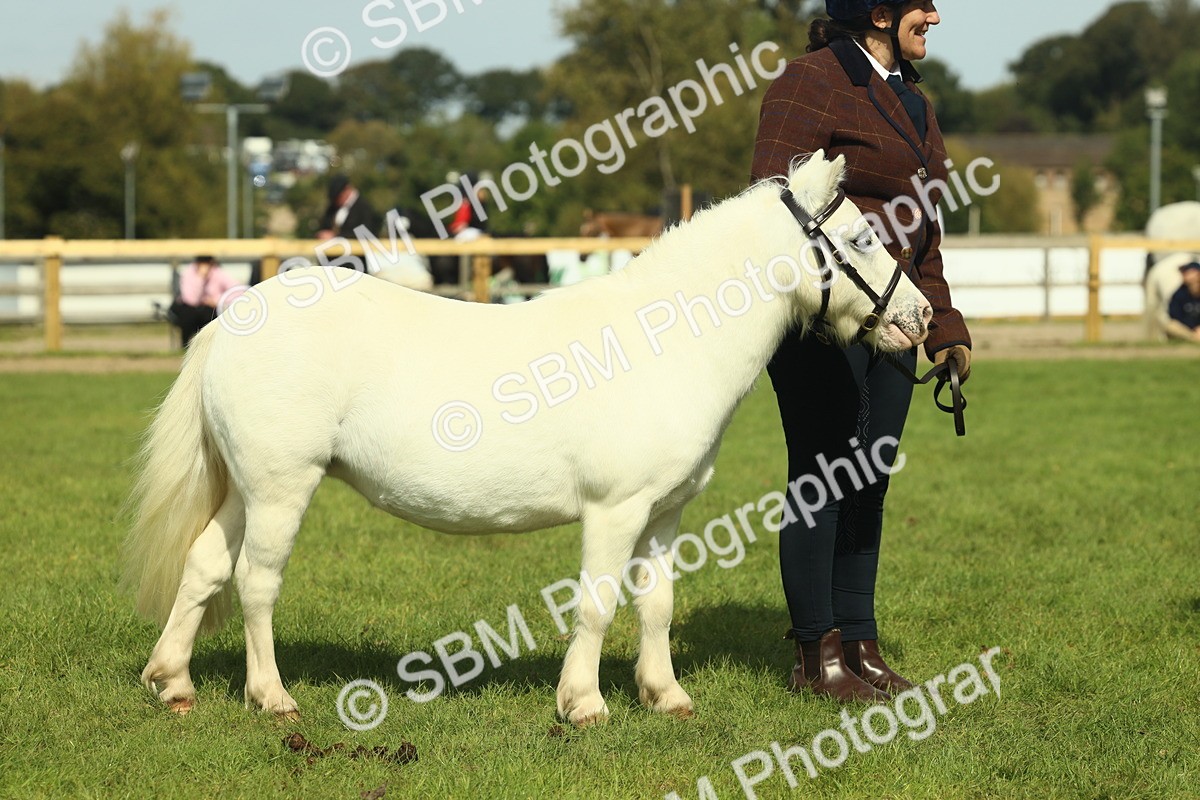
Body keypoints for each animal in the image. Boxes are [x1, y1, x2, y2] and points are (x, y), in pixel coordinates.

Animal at [122, 151, 933, 726]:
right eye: (863, 236)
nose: (920, 317)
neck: (660, 342)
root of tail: (234, 319)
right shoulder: (615, 509)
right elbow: (598, 602)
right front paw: (584, 703)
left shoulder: (664, 513)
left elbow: (657, 604)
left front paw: (664, 695)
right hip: (281, 488)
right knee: (256, 583)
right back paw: (272, 696)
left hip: (245, 489)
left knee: (204, 566)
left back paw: (173, 683)